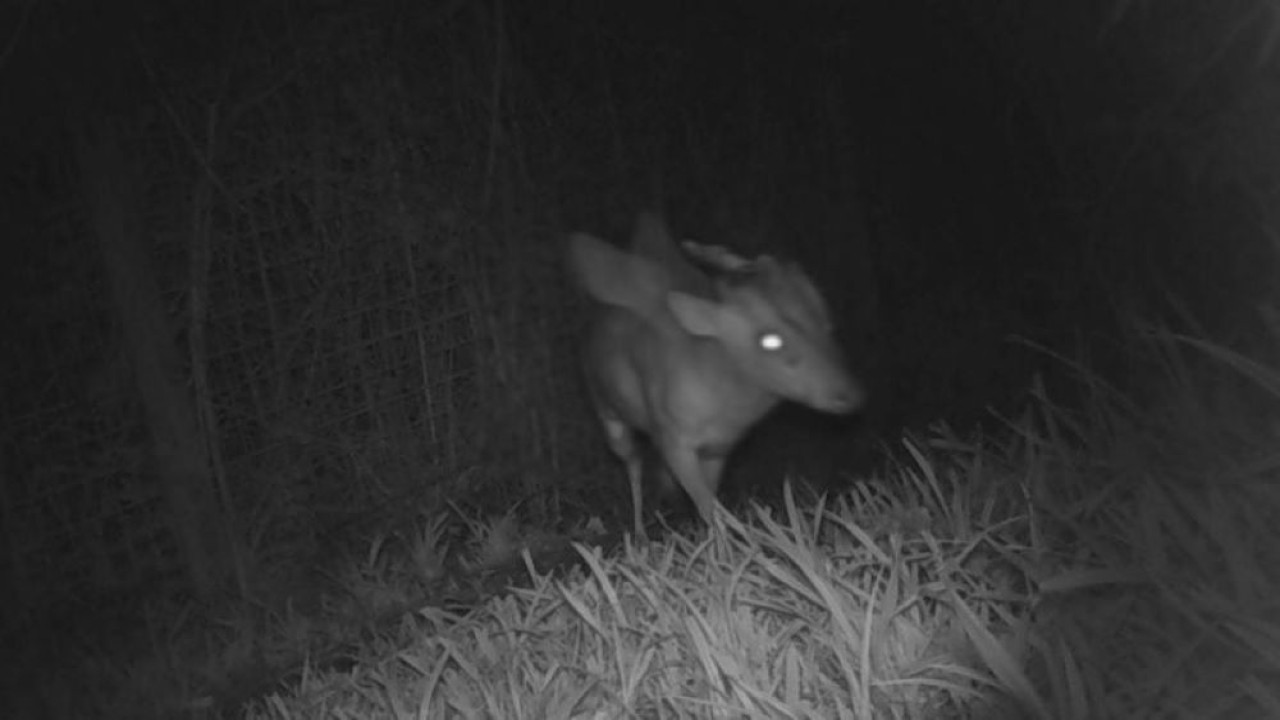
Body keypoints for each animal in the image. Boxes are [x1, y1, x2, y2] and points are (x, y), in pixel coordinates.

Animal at [568, 210, 860, 535]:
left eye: (825, 320)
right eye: (770, 340)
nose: (848, 394)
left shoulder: (719, 448)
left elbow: (709, 501)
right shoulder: (674, 438)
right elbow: (707, 505)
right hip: (608, 412)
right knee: (631, 462)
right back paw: (641, 531)